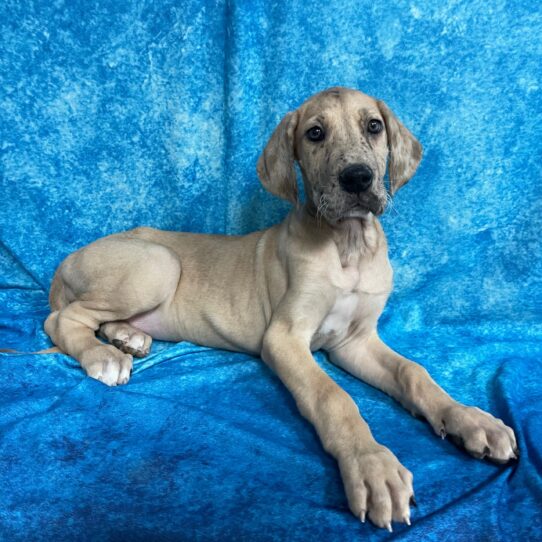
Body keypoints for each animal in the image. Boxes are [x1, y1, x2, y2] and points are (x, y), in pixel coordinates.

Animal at [42, 88, 520, 532]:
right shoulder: (285, 337)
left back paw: (128, 337)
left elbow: (413, 372)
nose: (358, 178)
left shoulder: (355, 341)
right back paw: (103, 356)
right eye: (315, 133)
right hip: (158, 263)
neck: (348, 245)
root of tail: (69, 259)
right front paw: (372, 466)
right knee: (61, 318)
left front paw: (468, 419)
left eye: (373, 126)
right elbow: (333, 396)